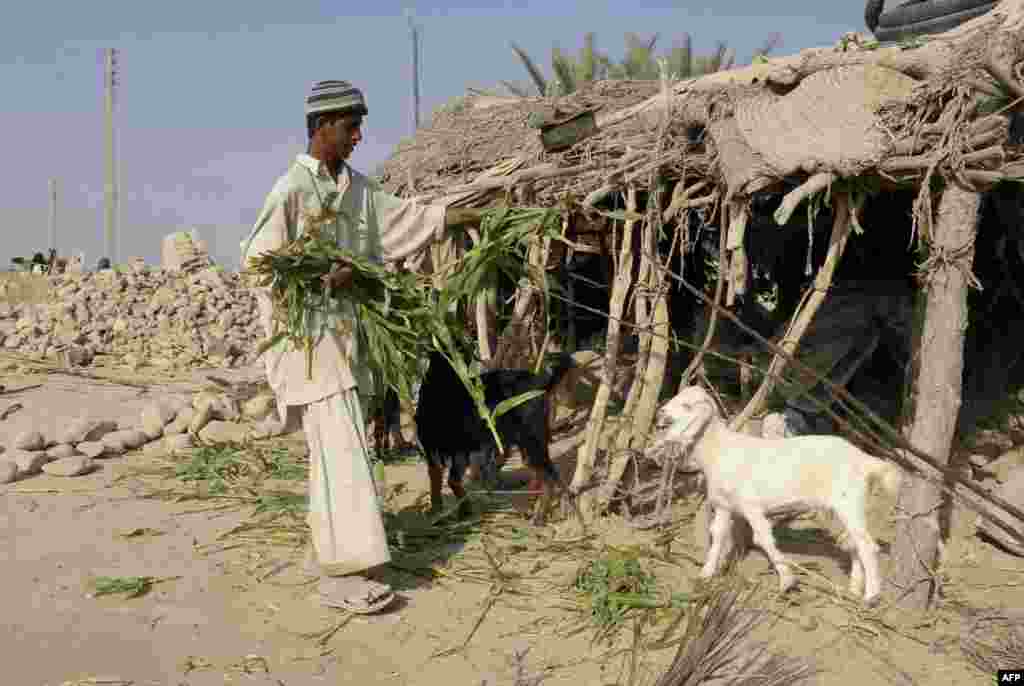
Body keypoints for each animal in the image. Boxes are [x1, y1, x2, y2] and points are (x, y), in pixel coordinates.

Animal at [415, 352, 577, 524]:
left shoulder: (460, 451)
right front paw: (436, 512)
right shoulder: (431, 451)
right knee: (544, 473)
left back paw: (539, 516)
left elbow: (452, 481)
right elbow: (436, 482)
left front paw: (464, 510)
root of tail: (538, 381)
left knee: (549, 477)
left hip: (531, 441)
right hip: (525, 445)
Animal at [651, 389, 901, 606]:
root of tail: (865, 460)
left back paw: (871, 596)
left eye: (687, 405)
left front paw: (787, 580)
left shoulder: (750, 505)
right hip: (844, 507)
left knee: (867, 545)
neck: (719, 450)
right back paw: (854, 589)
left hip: (848, 502)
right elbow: (718, 535)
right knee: (854, 542)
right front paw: (707, 573)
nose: (661, 412)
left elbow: (762, 537)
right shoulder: (724, 505)